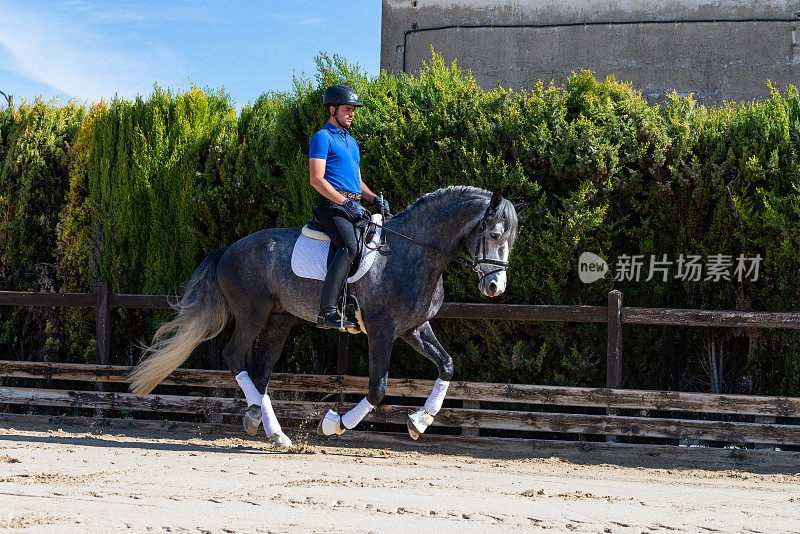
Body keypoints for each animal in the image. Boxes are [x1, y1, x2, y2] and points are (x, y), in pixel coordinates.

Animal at [129, 187, 520, 448]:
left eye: (511, 241)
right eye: (494, 234)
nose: (495, 287)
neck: (412, 253)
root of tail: (229, 250)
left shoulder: (413, 328)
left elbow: (447, 366)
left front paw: (420, 422)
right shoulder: (383, 330)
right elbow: (378, 389)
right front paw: (333, 425)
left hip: (279, 319)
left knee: (261, 368)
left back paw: (271, 430)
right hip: (253, 312)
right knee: (234, 355)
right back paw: (259, 418)